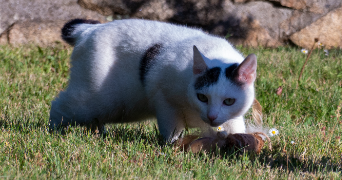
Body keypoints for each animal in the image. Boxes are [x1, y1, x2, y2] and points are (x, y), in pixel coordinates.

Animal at [48, 18, 256, 142]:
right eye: (202, 97)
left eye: (229, 101)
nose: (212, 116)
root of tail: (89, 29)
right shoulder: (164, 100)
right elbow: (171, 129)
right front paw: (172, 147)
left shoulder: (232, 118)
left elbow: (236, 129)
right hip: (97, 100)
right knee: (60, 106)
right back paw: (54, 132)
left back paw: (99, 134)